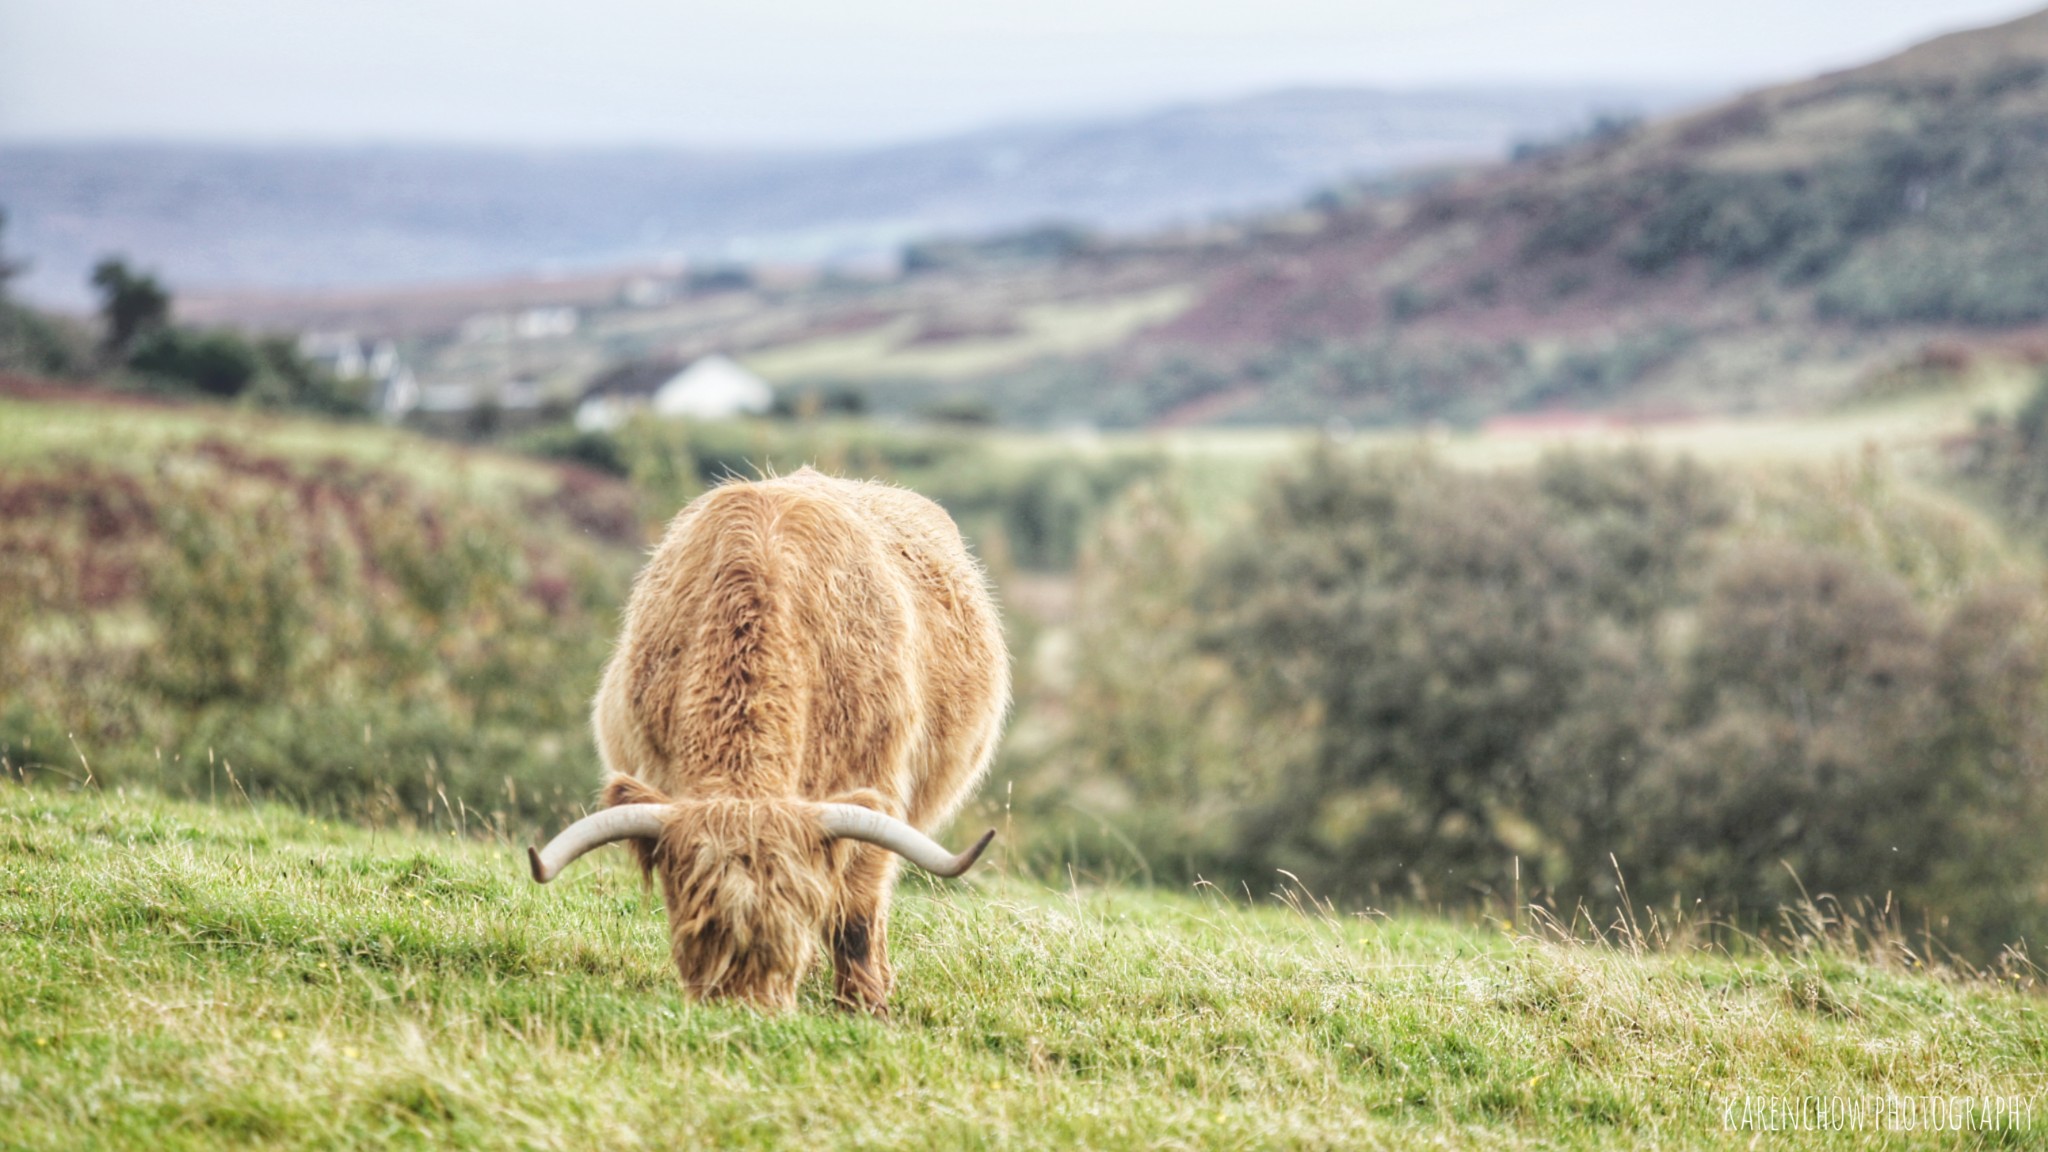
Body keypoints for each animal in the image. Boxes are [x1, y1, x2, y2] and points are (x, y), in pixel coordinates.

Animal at [528, 467, 1007, 1004]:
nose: (744, 1008)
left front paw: (865, 1004)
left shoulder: (877, 786)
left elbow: (856, 914)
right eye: (698, 924)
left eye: (789, 921)